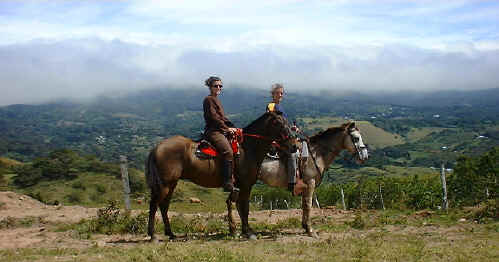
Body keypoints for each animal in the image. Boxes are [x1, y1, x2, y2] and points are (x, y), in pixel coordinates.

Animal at [145, 111, 296, 242]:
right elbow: (245, 208)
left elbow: (239, 207)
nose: (294, 146)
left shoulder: (240, 186)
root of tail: (157, 147)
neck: (247, 148)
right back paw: (153, 235)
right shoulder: (246, 185)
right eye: (278, 123)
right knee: (154, 205)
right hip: (164, 184)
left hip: (171, 184)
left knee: (164, 206)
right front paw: (247, 231)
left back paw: (170, 233)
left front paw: (239, 230)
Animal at [230, 122, 368, 238]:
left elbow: (304, 205)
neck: (316, 154)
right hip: (244, 183)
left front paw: (305, 226)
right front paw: (310, 230)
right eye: (356, 138)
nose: (365, 156)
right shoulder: (310, 183)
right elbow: (308, 205)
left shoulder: (305, 187)